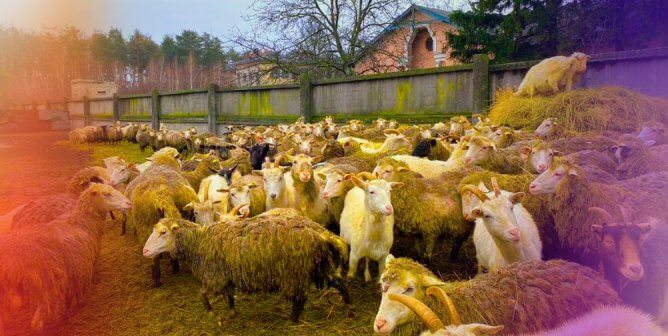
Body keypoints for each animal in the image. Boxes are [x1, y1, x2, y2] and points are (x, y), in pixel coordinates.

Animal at [0, 185, 132, 334]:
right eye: (107, 194)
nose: (129, 203)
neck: (80, 221)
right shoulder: (77, 272)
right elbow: (74, 295)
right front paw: (75, 307)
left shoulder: (70, 275)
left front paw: (67, 312)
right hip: (42, 288)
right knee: (36, 323)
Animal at [140, 211, 350, 324]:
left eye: (163, 232)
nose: (145, 251)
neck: (199, 242)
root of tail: (320, 232)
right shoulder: (226, 275)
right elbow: (229, 296)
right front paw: (231, 313)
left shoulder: (214, 276)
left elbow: (202, 295)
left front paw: (212, 314)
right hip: (320, 264)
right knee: (338, 282)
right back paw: (349, 306)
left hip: (294, 272)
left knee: (300, 298)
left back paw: (292, 320)